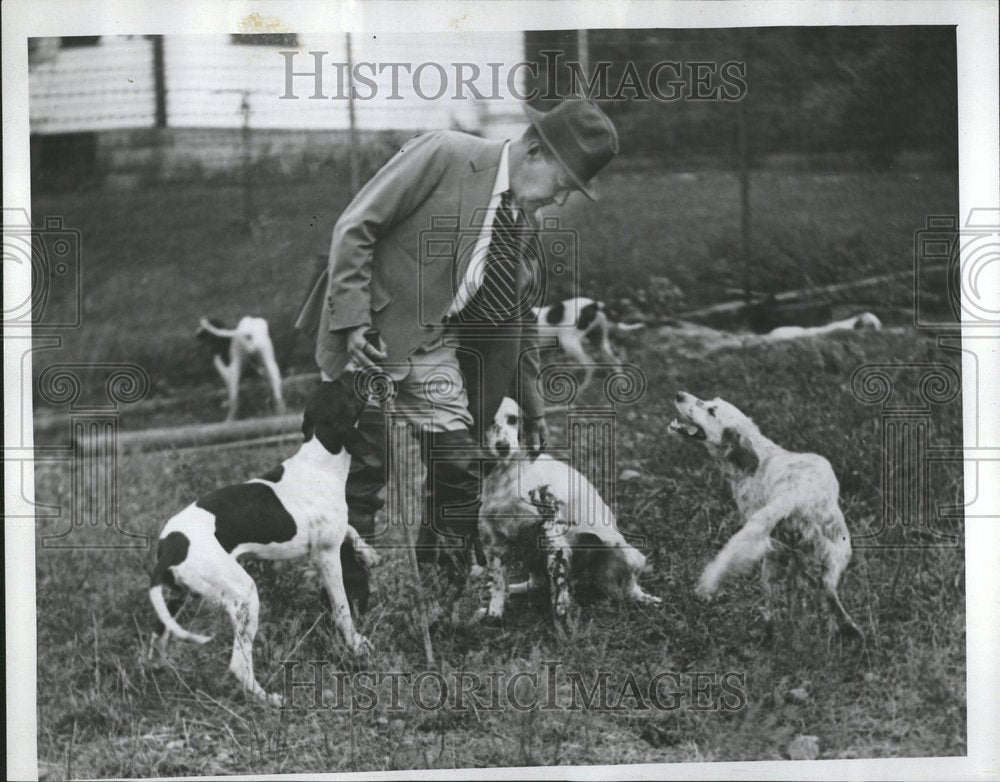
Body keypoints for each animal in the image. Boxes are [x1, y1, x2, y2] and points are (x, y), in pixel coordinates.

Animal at [149, 382, 378, 712]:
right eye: (347, 391)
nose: (367, 375)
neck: (319, 460)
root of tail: (170, 546)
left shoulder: (333, 535)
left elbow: (352, 529)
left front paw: (368, 554)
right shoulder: (326, 556)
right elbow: (342, 609)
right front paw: (356, 644)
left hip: (175, 598)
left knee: (157, 638)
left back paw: (159, 670)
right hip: (244, 597)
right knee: (238, 665)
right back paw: (268, 698)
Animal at [478, 398, 660, 632]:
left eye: (512, 419)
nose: (503, 446)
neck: (506, 475)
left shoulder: (553, 536)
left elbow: (559, 590)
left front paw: (562, 623)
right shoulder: (492, 542)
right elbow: (498, 584)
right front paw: (493, 612)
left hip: (628, 553)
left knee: (629, 589)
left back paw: (645, 599)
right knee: (535, 582)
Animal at [668, 392, 864, 644]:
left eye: (711, 410)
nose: (679, 395)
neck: (758, 456)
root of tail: (796, 494)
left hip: (771, 560)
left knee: (773, 607)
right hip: (834, 555)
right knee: (826, 595)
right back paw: (847, 631)